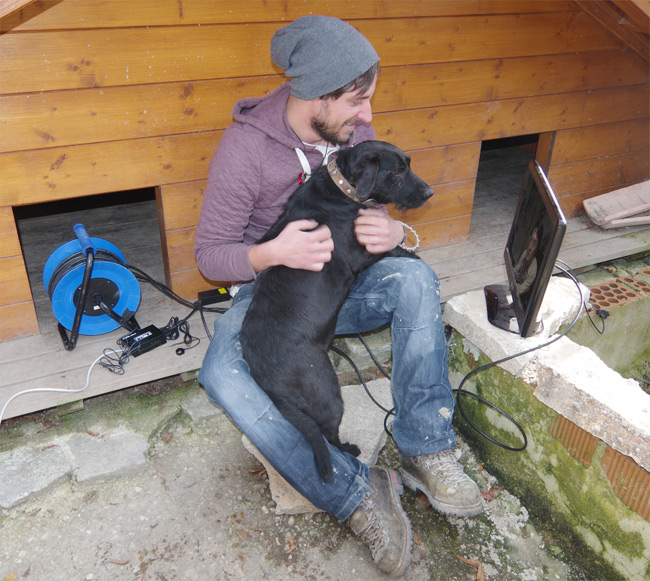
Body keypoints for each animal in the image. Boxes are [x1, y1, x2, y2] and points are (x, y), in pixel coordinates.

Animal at [238, 139, 430, 480]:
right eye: (397, 171)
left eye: (408, 165)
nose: (430, 192)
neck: (342, 189)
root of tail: (268, 379)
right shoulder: (362, 252)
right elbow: (391, 248)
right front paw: (414, 256)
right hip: (329, 394)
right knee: (328, 435)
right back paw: (349, 451)